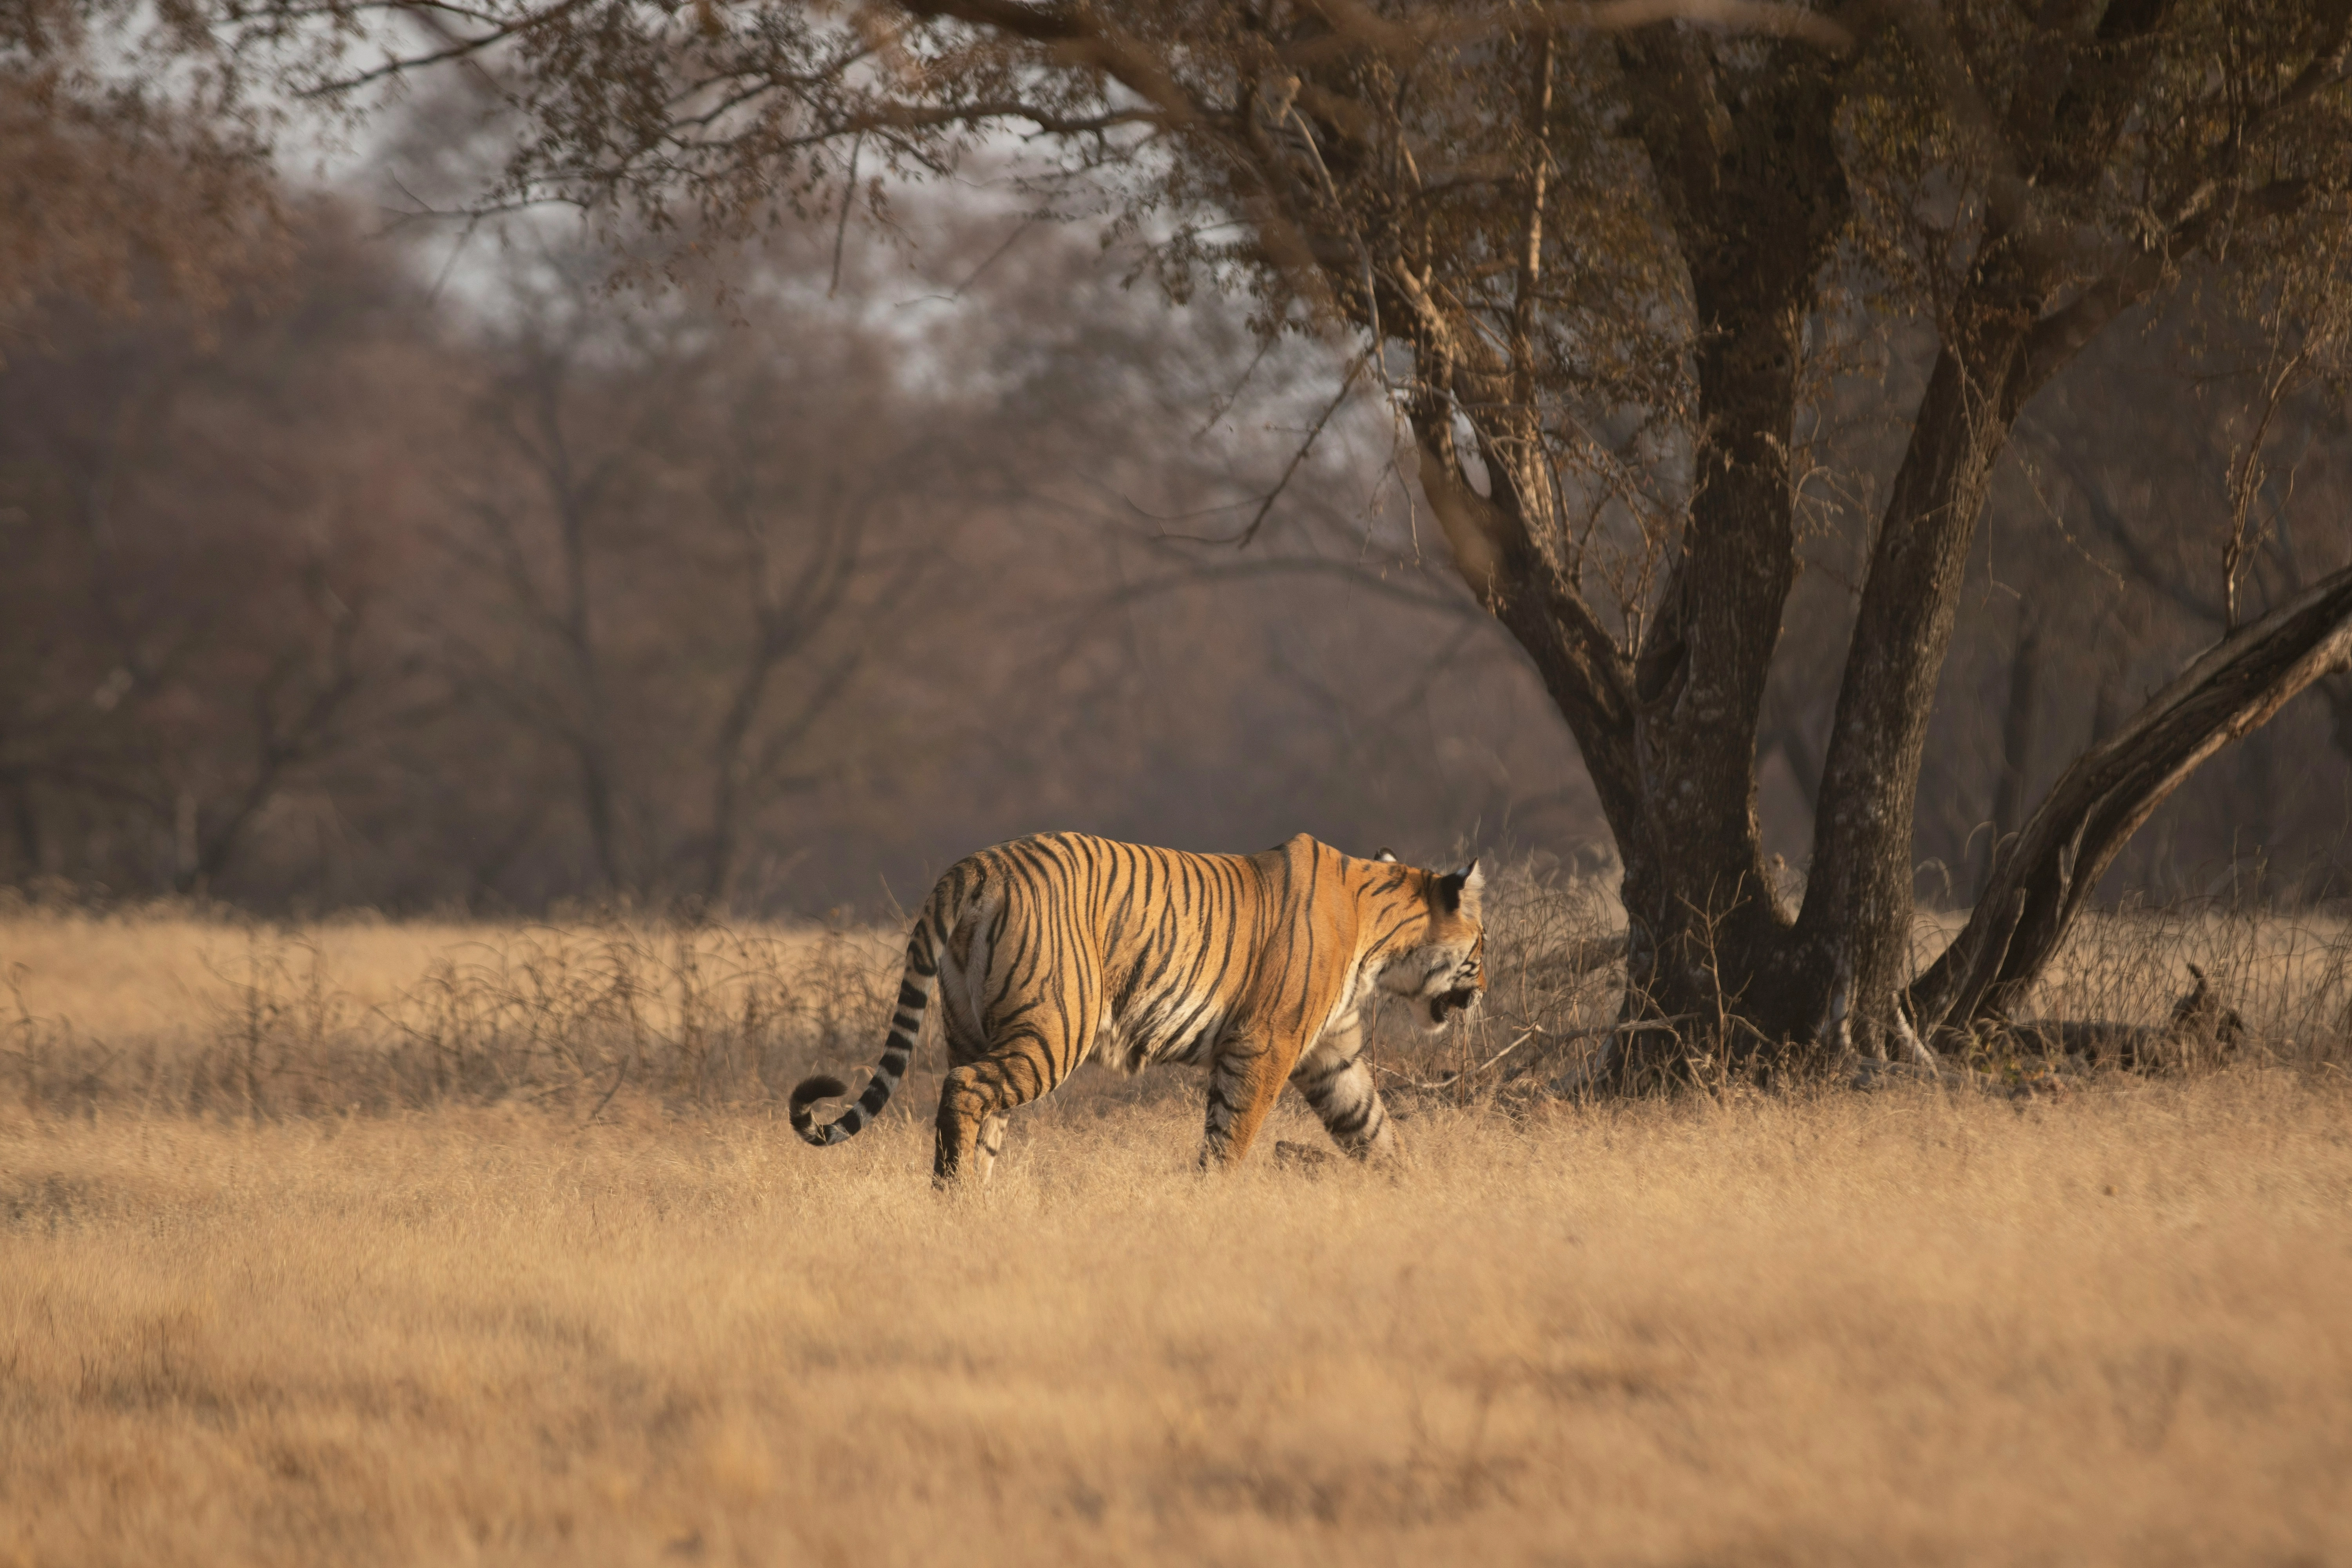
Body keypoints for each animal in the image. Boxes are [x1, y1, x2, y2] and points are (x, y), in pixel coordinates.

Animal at [789, 831, 1485, 1183]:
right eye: (1483, 946)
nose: (1482, 993)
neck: (1382, 944)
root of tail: (976, 865)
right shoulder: (1267, 1043)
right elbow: (1232, 1135)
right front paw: (1210, 1202)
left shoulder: (1330, 1055)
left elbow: (1373, 1129)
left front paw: (1412, 1193)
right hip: (1054, 1028)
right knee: (965, 1089)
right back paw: (954, 1199)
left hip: (972, 1027)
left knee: (975, 1113)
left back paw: (970, 1203)